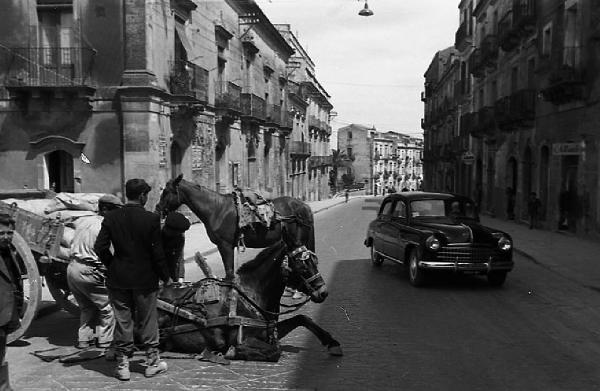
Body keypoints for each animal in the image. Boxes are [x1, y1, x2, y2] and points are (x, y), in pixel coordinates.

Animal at [155, 175, 316, 282]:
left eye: (166, 192)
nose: (158, 208)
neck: (217, 210)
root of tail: (303, 206)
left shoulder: (225, 246)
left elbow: (229, 274)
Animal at [155, 243, 342, 362]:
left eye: (315, 262)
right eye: (303, 267)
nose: (323, 292)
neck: (251, 294)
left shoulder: (268, 331)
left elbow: (302, 318)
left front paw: (332, 342)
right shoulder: (243, 338)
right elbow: (275, 352)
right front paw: (232, 352)